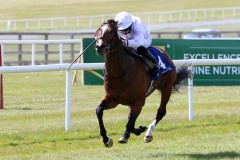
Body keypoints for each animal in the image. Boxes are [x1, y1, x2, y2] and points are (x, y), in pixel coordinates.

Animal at [94, 19, 190, 147]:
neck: (120, 72)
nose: (99, 47)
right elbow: (99, 110)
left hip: (167, 87)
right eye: (97, 31)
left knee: (161, 112)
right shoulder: (113, 99)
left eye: (110, 31)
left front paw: (140, 129)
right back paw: (126, 135)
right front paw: (106, 139)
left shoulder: (139, 101)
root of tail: (164, 52)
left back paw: (148, 134)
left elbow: (130, 124)